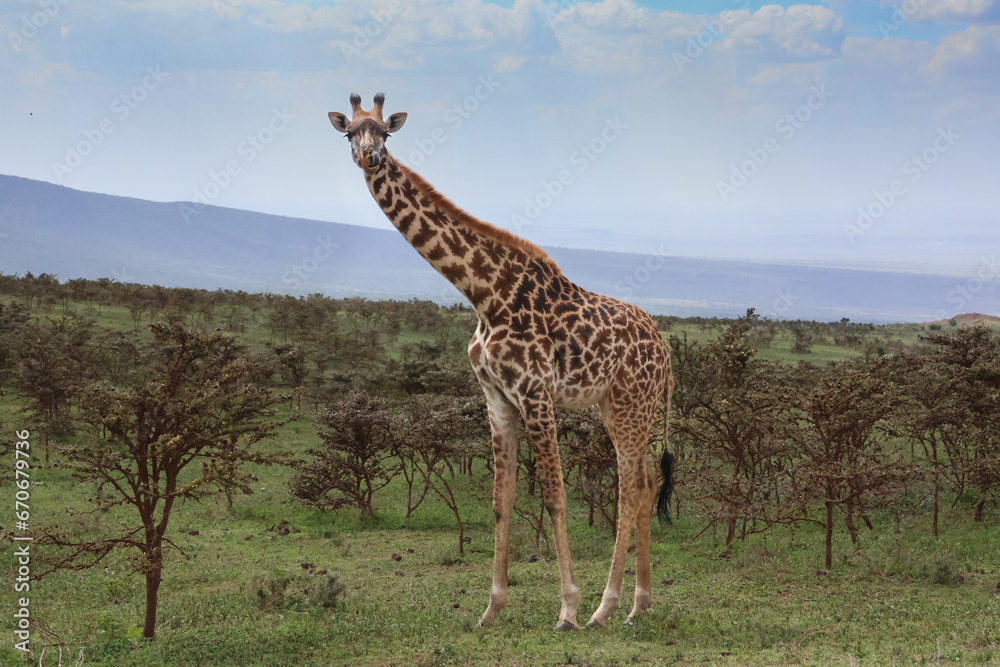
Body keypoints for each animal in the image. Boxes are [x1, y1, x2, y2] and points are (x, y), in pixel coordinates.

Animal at [328, 93, 675, 631]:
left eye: (385, 132)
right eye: (350, 133)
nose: (370, 157)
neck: (484, 294)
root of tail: (665, 348)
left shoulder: (536, 394)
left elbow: (554, 495)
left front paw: (567, 608)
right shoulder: (495, 397)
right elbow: (501, 498)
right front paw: (491, 608)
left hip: (632, 403)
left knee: (633, 487)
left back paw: (609, 607)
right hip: (616, 405)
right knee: (644, 480)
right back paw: (633, 605)